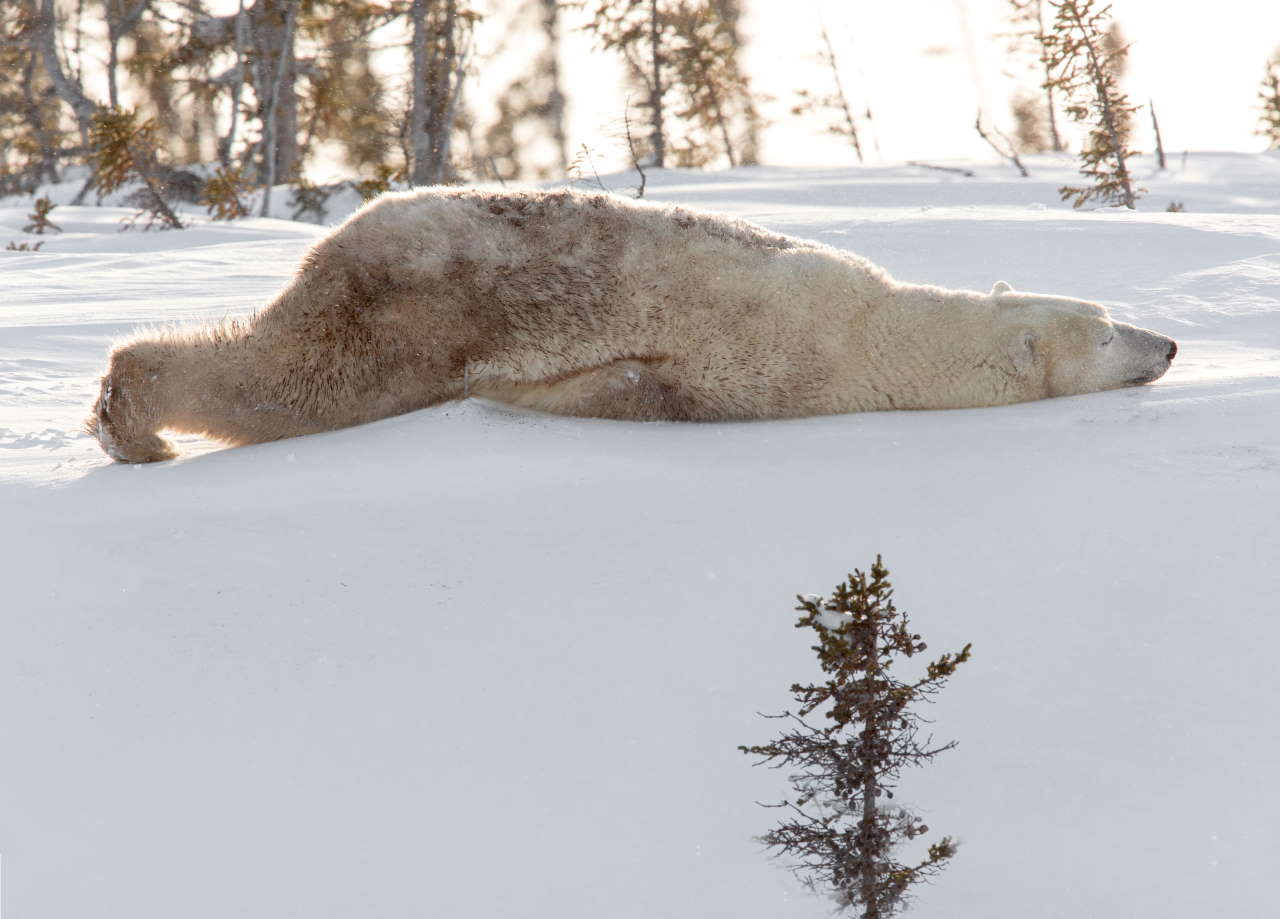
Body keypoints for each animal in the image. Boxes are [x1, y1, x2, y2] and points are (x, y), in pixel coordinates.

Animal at [90, 188, 1177, 463]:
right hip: (410, 311)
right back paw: (132, 422)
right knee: (293, 386)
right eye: (1105, 329)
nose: (1168, 344)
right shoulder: (769, 358)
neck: (878, 330)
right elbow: (646, 387)